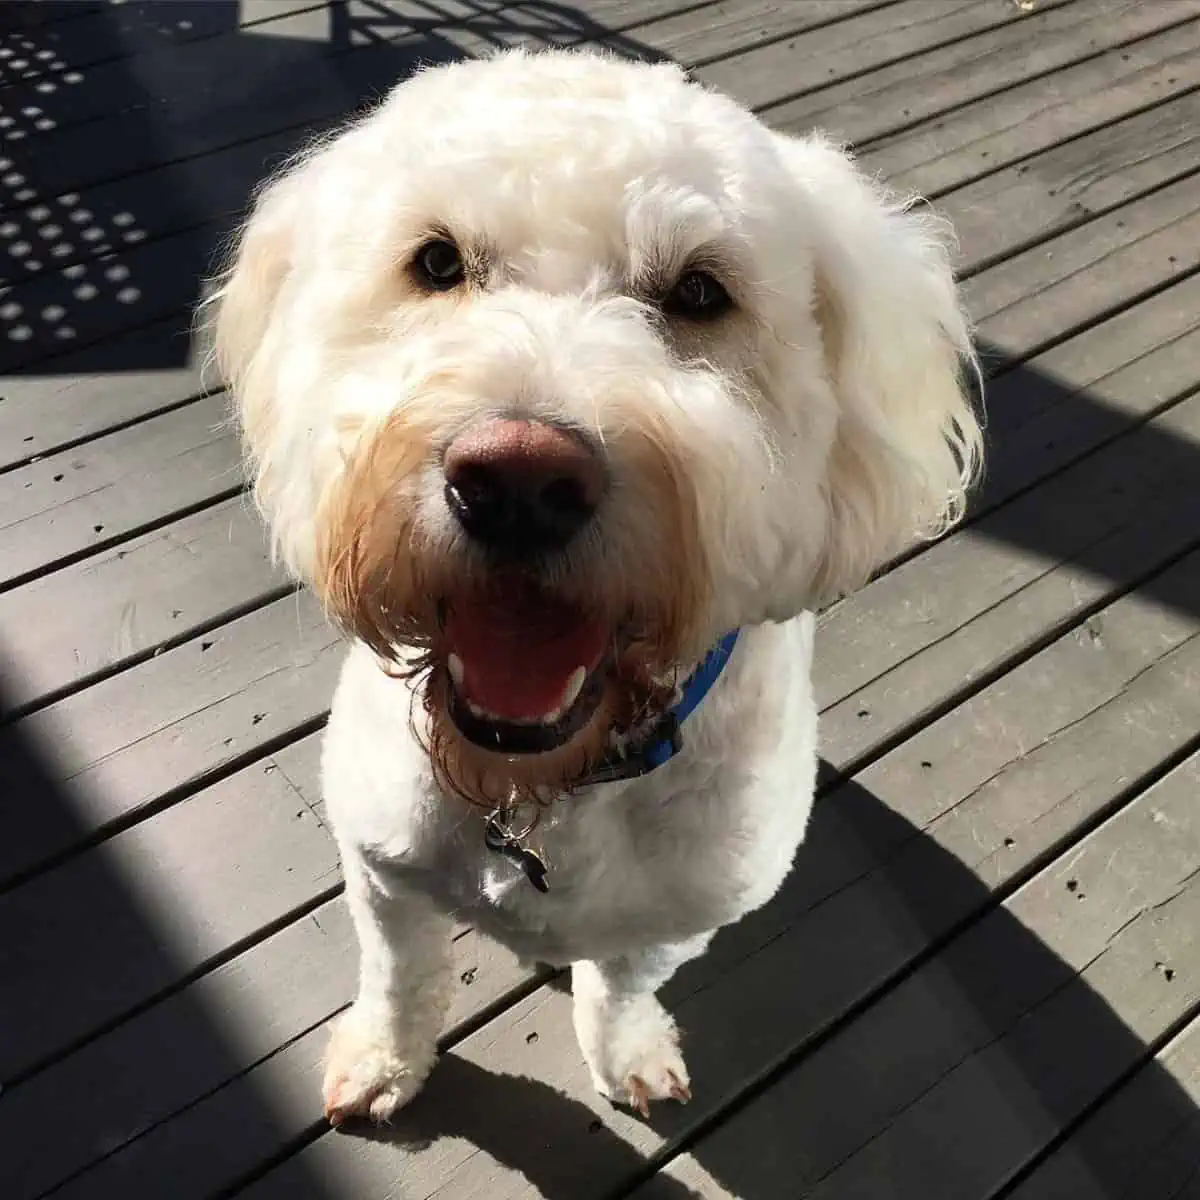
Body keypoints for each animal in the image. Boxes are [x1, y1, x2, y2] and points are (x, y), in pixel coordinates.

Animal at [206, 49, 979, 1123]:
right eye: (436, 262)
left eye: (699, 291)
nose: (518, 483)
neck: (539, 790)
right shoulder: (382, 872)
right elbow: (400, 978)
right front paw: (384, 1059)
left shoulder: (682, 913)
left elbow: (620, 983)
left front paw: (628, 1053)